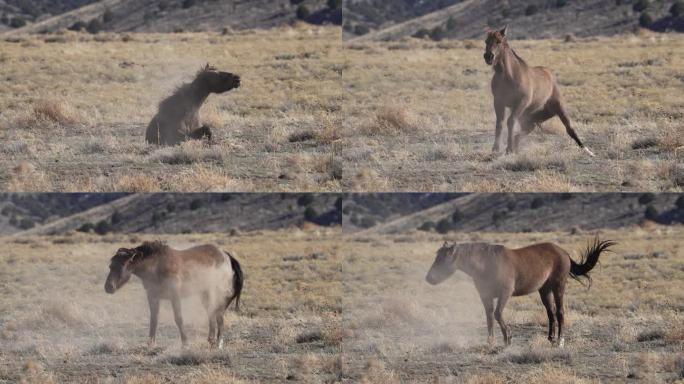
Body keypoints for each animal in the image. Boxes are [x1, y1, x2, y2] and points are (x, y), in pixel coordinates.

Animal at [104, 242, 243, 350]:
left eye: (122, 265)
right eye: (110, 266)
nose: (108, 287)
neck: (157, 266)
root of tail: (226, 255)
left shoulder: (174, 296)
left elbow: (178, 318)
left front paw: (185, 343)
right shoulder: (153, 297)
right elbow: (154, 319)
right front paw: (150, 343)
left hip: (217, 293)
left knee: (218, 316)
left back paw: (219, 343)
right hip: (205, 293)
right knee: (211, 314)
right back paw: (211, 340)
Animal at [428, 237, 616, 348]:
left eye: (443, 259)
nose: (429, 278)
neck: (488, 263)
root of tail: (564, 253)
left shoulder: (504, 293)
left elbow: (497, 314)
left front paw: (508, 339)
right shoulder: (486, 296)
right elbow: (489, 317)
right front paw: (490, 342)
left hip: (558, 287)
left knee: (560, 312)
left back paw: (560, 341)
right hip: (544, 290)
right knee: (551, 313)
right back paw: (550, 338)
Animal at [486, 26, 592, 157]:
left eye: (498, 42)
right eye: (486, 41)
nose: (488, 56)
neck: (509, 76)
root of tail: (548, 73)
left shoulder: (521, 102)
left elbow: (510, 121)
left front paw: (509, 149)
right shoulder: (498, 102)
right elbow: (499, 123)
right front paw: (496, 149)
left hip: (558, 107)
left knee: (570, 129)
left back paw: (588, 151)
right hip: (529, 116)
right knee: (527, 130)